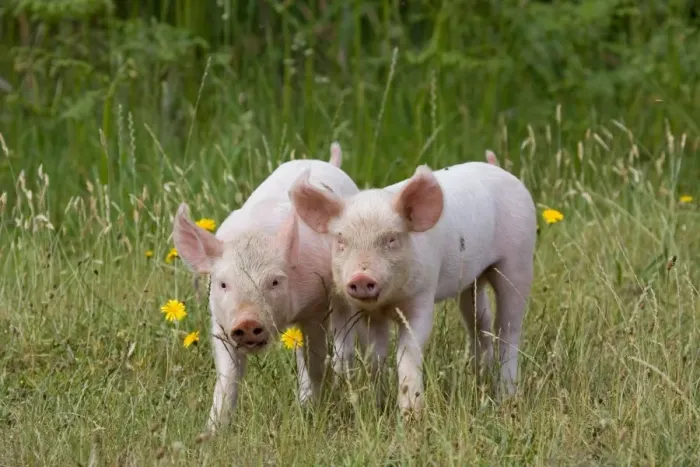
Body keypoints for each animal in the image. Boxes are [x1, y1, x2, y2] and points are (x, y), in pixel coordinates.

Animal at [172, 142, 359, 434]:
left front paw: (309, 412)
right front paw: (210, 433)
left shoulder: (315, 308)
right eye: (223, 283)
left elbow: (314, 361)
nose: (248, 322)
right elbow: (227, 377)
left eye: (274, 281)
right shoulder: (221, 323)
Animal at [289, 160, 537, 420]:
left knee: (508, 328)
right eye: (341, 240)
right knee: (479, 322)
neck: (390, 301)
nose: (361, 277)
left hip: (518, 260)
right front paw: (377, 405)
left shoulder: (422, 298)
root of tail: (507, 176)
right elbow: (376, 355)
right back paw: (478, 375)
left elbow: (406, 351)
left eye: (391, 239)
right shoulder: (368, 314)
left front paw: (410, 415)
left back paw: (506, 396)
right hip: (472, 281)